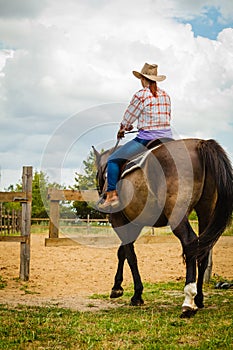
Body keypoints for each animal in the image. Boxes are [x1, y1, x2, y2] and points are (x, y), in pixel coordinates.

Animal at [93, 139, 233, 318]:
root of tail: (200, 143)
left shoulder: (119, 221)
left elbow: (130, 255)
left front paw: (135, 294)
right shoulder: (135, 224)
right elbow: (122, 252)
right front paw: (118, 287)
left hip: (177, 215)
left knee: (189, 242)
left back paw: (188, 301)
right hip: (206, 211)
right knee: (203, 250)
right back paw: (199, 299)